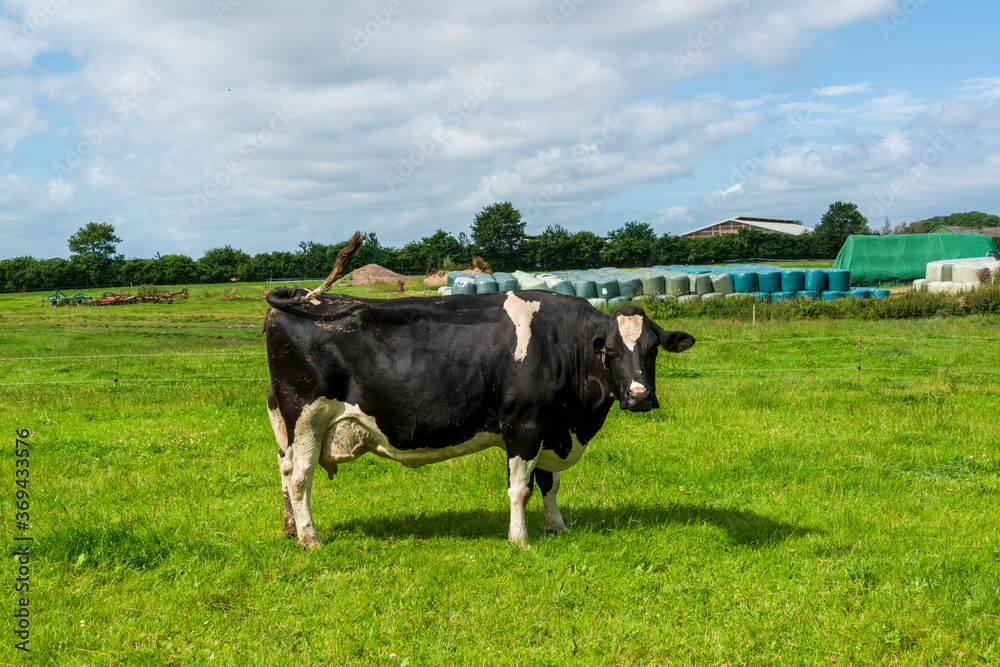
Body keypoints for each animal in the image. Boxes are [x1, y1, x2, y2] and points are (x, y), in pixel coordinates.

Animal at [266, 234, 696, 548]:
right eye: (610, 350)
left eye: (652, 348)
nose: (639, 396)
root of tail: (302, 299)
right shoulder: (525, 425)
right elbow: (520, 488)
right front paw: (520, 540)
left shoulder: (549, 425)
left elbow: (549, 482)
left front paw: (557, 527)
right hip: (307, 416)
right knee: (300, 476)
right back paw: (310, 539)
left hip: (286, 423)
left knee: (284, 469)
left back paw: (290, 530)